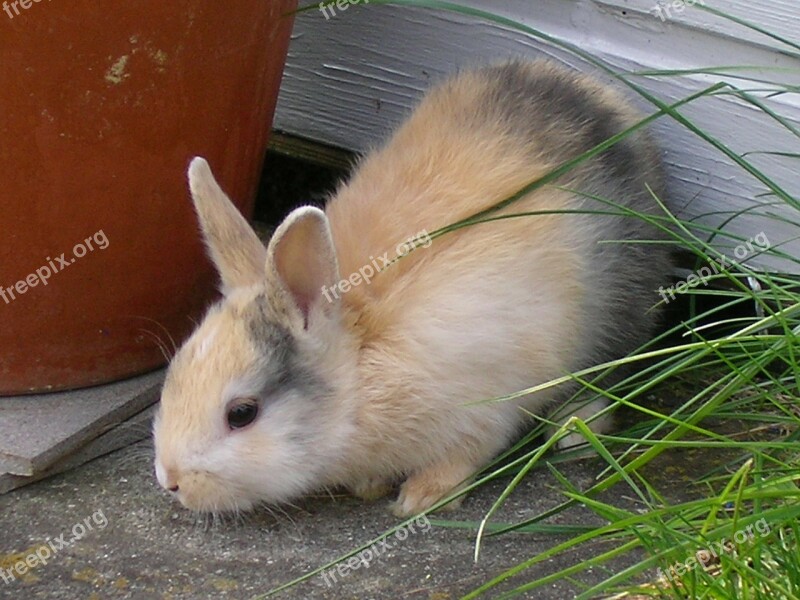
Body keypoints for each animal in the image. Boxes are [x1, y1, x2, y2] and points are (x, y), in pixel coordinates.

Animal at [153, 62, 672, 520]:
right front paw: (371, 485)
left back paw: (577, 433)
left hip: (618, 304)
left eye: (242, 413)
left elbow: (466, 454)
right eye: (173, 372)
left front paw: (421, 499)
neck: (360, 373)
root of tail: (608, 99)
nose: (170, 480)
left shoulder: (486, 406)